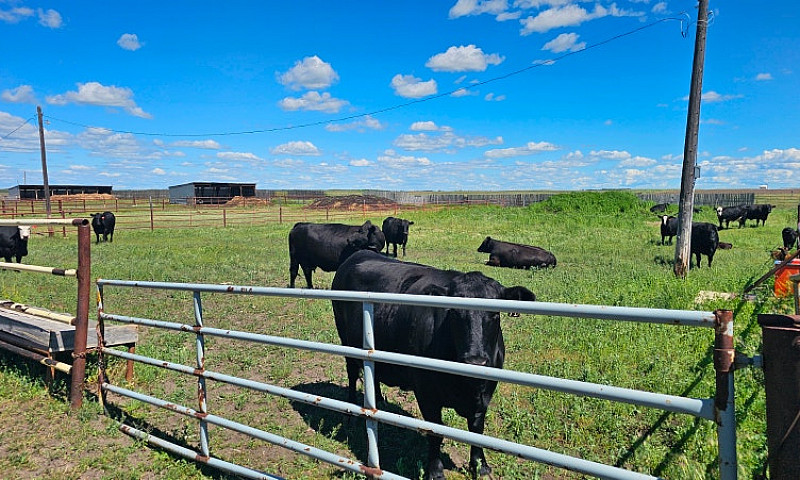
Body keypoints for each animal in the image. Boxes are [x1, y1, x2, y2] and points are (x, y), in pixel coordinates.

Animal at [331, 250, 536, 480]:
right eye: (454, 312)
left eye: (494, 313)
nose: (475, 361)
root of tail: (359, 253)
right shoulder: (426, 394)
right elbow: (435, 432)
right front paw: (436, 471)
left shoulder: (485, 393)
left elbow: (477, 429)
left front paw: (479, 465)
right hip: (346, 340)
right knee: (352, 374)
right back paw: (351, 414)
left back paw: (379, 403)